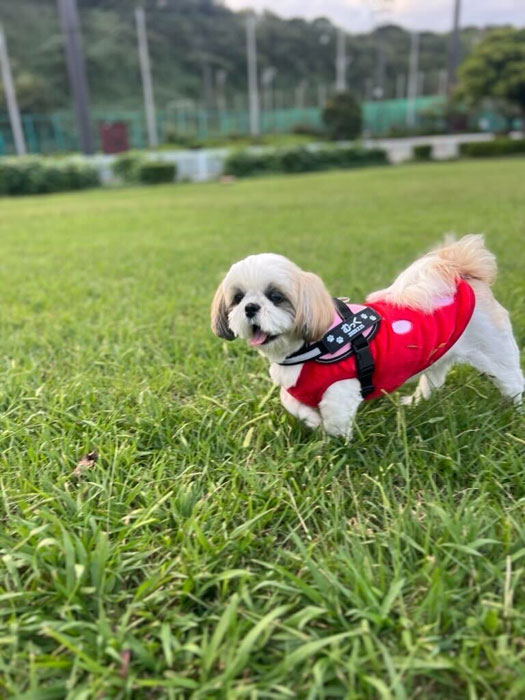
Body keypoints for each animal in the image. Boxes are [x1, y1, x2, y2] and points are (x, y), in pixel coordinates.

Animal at [211, 235, 523, 438]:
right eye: (237, 298)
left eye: (276, 297)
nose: (250, 307)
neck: (308, 348)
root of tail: (462, 272)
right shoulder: (294, 390)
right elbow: (291, 402)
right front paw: (312, 421)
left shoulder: (340, 388)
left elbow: (334, 419)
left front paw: (331, 443)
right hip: (439, 353)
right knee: (433, 379)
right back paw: (417, 402)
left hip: (496, 353)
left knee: (514, 382)